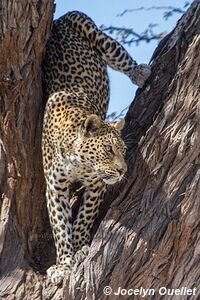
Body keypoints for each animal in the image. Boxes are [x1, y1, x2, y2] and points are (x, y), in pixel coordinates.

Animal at [42, 11, 152, 284]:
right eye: (109, 150)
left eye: (123, 151)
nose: (123, 171)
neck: (77, 160)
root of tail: (58, 19)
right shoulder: (54, 188)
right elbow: (60, 229)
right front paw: (63, 264)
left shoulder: (96, 184)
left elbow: (83, 218)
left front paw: (81, 248)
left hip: (91, 29)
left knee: (118, 53)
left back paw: (140, 72)